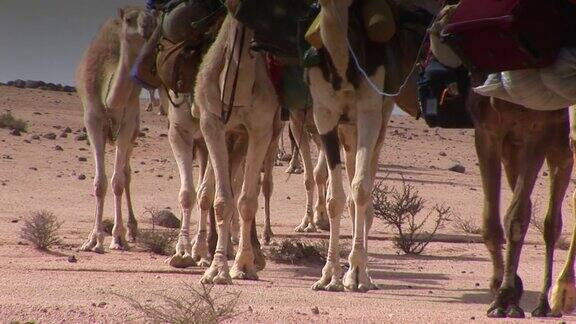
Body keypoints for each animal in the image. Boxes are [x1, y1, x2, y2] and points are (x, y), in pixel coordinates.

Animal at [76, 6, 158, 252]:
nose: (147, 26)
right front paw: (93, 239)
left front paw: (118, 237)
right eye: (129, 19)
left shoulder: (127, 122)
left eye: (154, 20)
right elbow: (99, 183)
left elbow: (118, 181)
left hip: (133, 132)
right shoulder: (92, 120)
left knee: (127, 173)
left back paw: (132, 229)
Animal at [430, 5, 572, 318]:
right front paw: (502, 290)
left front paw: (506, 297)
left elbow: (516, 216)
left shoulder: (537, 134)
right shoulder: (488, 134)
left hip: (560, 144)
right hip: (516, 150)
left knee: (551, 222)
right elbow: (492, 220)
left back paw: (547, 301)